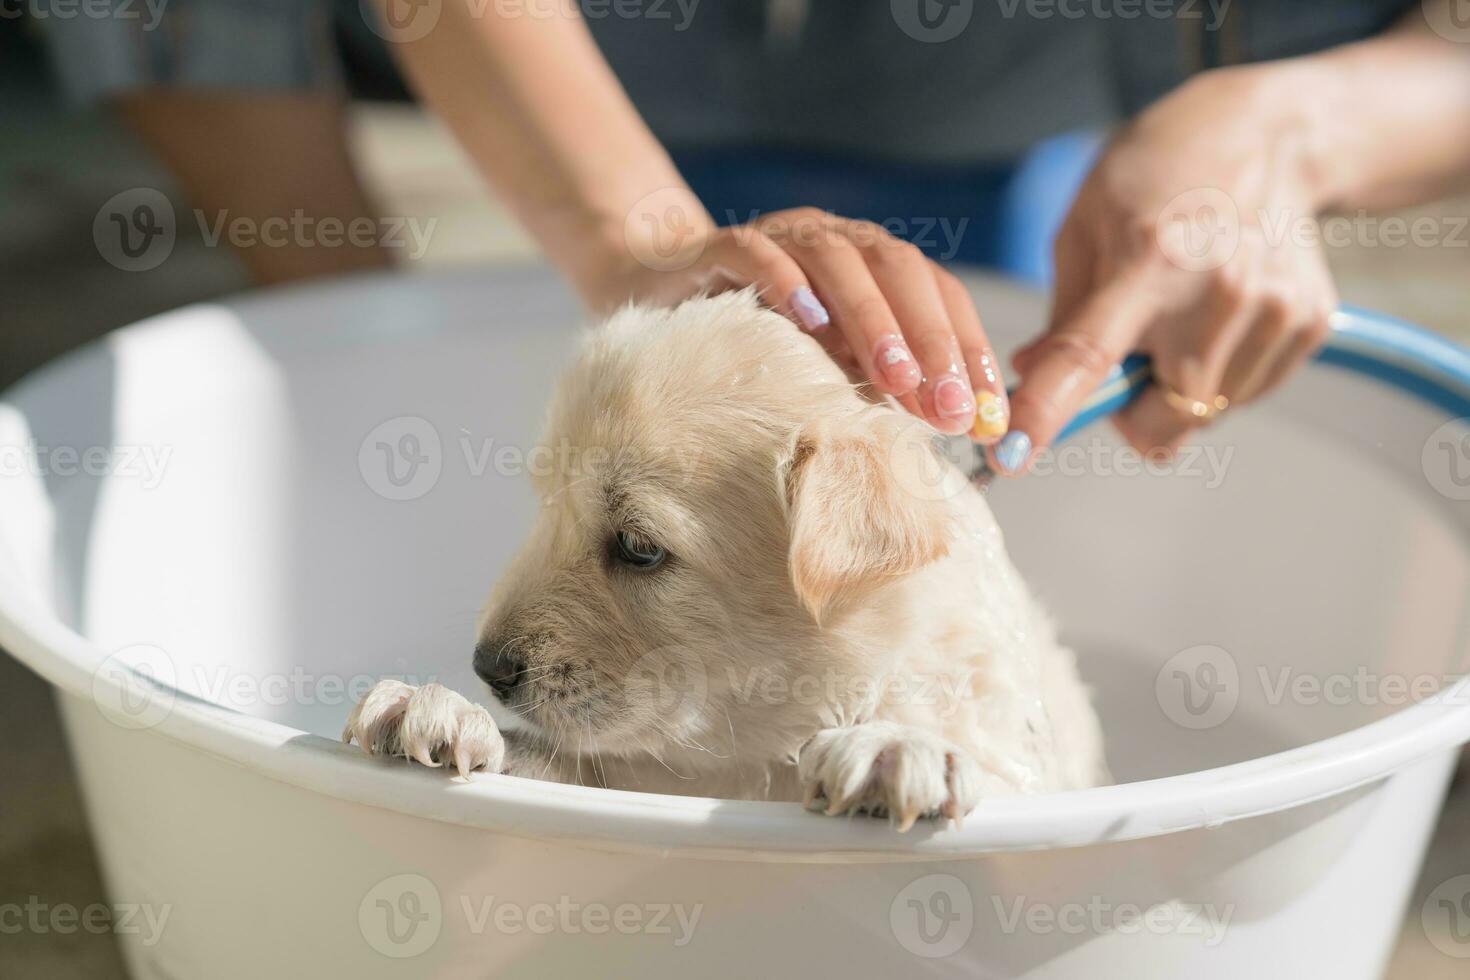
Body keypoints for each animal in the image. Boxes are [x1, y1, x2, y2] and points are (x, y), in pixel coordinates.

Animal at [346, 289, 1105, 828]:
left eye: (640, 549)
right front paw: (440, 712)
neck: (768, 750)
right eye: (547, 508)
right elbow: (570, 764)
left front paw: (898, 747)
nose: (487, 668)